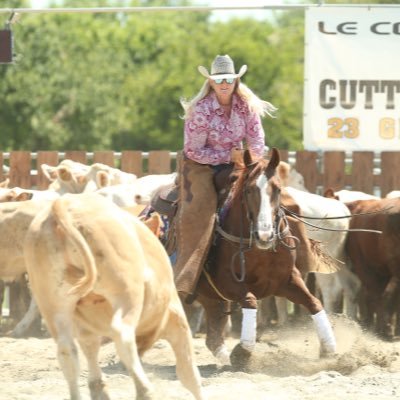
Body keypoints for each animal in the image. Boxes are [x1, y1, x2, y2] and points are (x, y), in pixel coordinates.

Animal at [22, 192, 203, 398]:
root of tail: (65, 204)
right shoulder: (175, 317)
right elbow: (189, 374)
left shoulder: (86, 330)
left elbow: (90, 351)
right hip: (127, 293)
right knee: (122, 334)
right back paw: (145, 390)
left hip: (53, 305)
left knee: (67, 351)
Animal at [192, 148, 336, 368]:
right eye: (249, 190)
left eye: (277, 189)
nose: (265, 235)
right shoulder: (225, 283)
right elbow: (251, 300)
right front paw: (243, 351)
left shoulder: (287, 280)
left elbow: (314, 303)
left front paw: (329, 350)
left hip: (209, 298)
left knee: (213, 336)